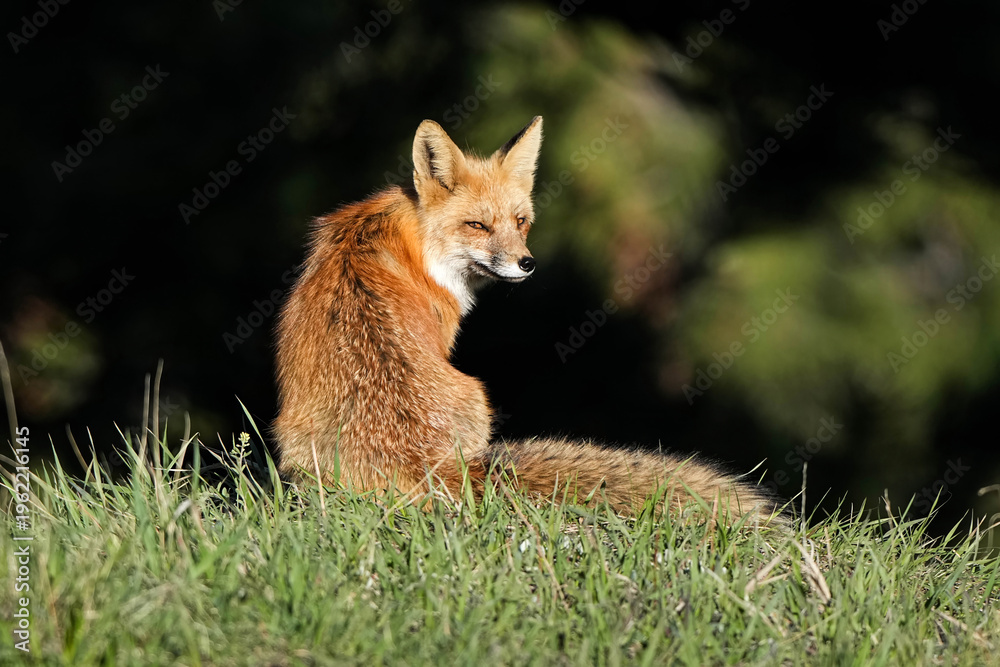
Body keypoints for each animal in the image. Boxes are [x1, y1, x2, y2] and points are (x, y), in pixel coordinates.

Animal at [274, 116, 784, 525]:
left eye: (520, 221)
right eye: (477, 226)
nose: (527, 264)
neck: (408, 236)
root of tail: (425, 464)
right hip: (472, 398)